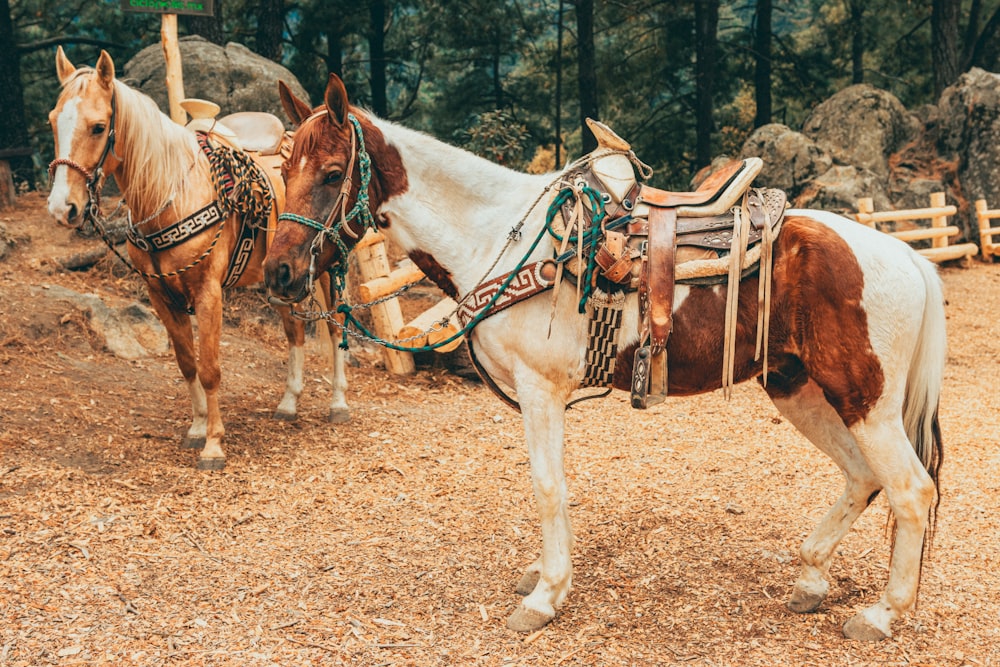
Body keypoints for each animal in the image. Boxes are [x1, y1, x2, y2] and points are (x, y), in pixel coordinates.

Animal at [47, 48, 352, 470]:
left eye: (97, 127)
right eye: (52, 121)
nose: (63, 209)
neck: (171, 194)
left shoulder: (208, 294)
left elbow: (209, 369)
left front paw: (214, 445)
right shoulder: (161, 296)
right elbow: (187, 362)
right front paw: (196, 429)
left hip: (326, 270)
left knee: (336, 328)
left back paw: (338, 403)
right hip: (280, 279)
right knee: (294, 332)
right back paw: (289, 403)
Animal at [264, 74, 944, 640]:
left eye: (332, 172)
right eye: (283, 168)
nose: (280, 272)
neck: (494, 234)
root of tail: (906, 254)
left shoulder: (540, 391)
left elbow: (547, 487)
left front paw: (544, 597)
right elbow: (552, 485)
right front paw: (544, 573)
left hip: (864, 399)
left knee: (911, 490)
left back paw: (882, 614)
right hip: (797, 387)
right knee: (863, 477)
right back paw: (810, 579)